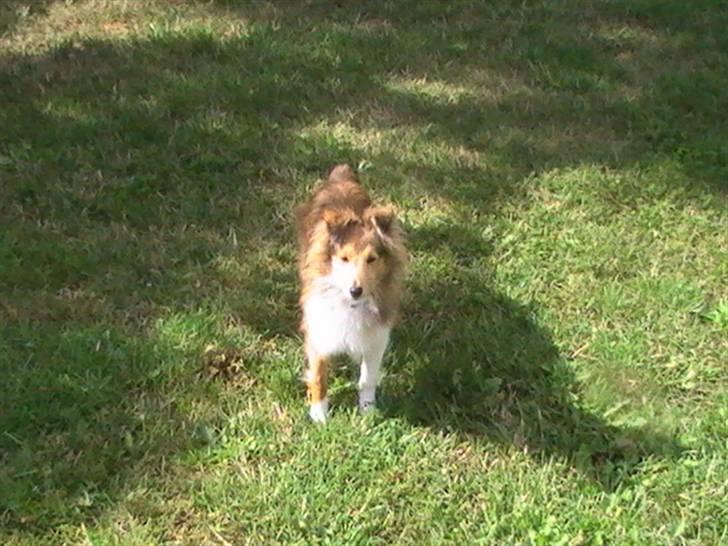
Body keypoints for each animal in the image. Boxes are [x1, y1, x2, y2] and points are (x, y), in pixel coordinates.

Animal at [296, 163, 410, 420]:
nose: (355, 290)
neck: (350, 303)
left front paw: (368, 411)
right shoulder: (319, 330)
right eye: (344, 258)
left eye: (372, 259)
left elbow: (368, 379)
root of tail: (341, 176)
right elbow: (319, 377)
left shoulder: (376, 338)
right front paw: (320, 416)